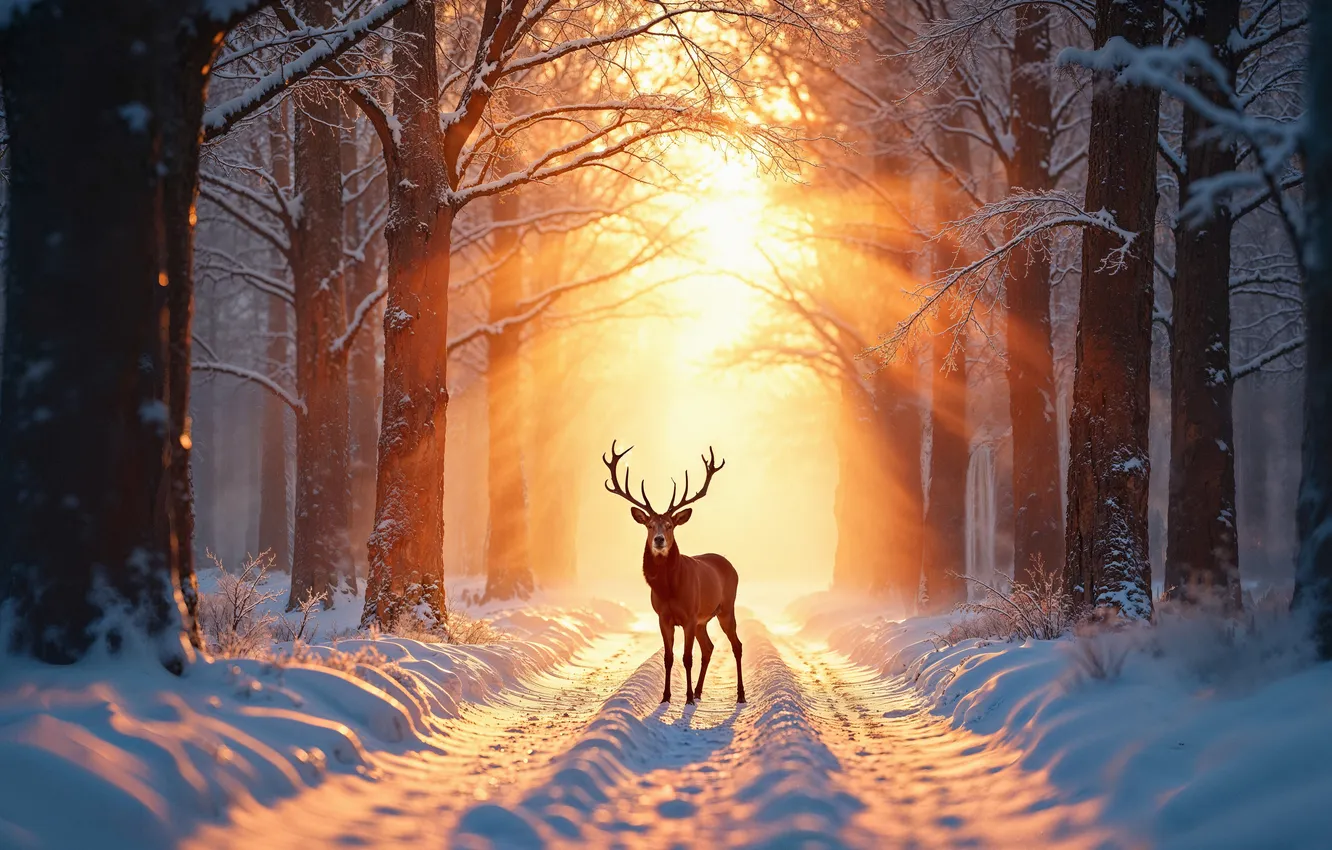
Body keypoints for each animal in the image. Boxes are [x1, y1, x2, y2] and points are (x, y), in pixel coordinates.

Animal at [603, 441, 745, 706]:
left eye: (670, 525)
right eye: (649, 525)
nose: (658, 540)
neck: (669, 589)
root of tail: (730, 565)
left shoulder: (689, 616)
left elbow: (687, 658)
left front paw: (686, 699)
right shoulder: (663, 617)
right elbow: (668, 657)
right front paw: (666, 697)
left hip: (726, 608)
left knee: (737, 645)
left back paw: (739, 695)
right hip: (703, 620)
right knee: (709, 647)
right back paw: (699, 691)